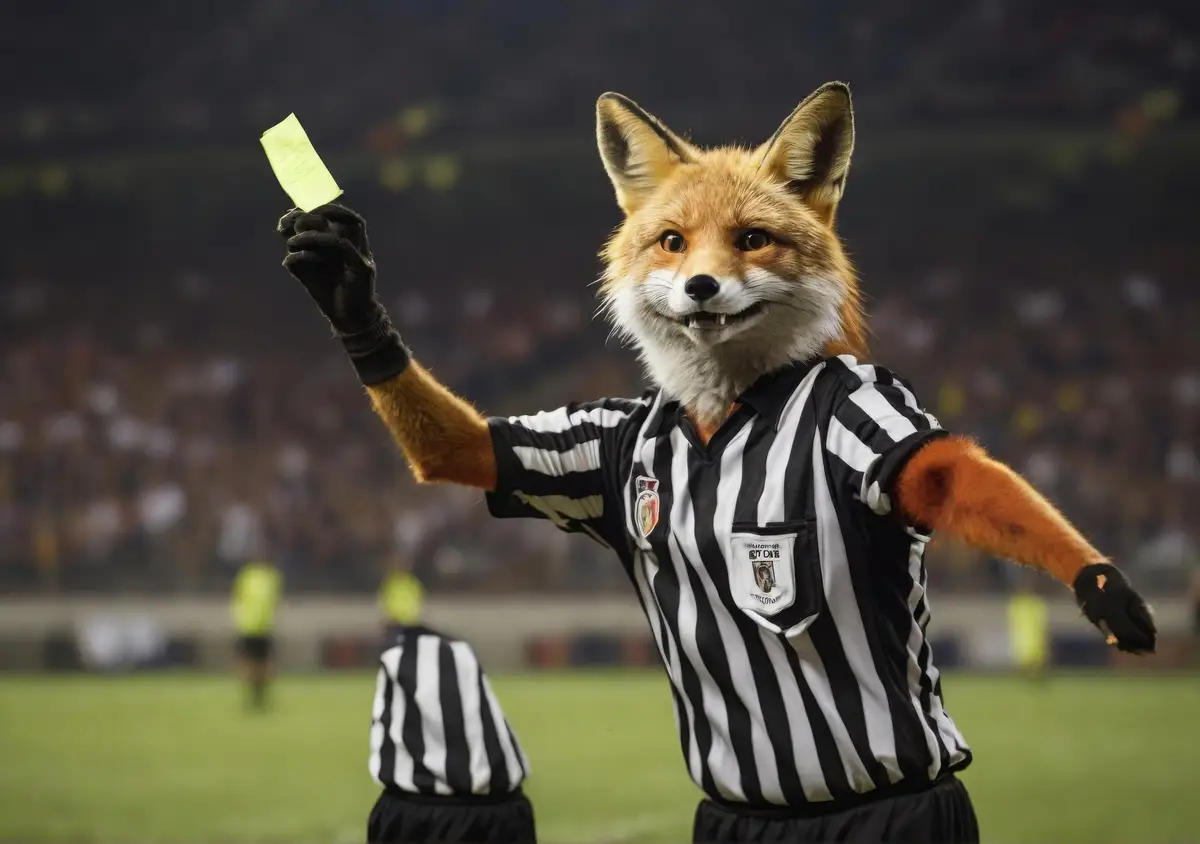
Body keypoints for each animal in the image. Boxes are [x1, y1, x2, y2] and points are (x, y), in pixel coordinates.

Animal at [277, 81, 1155, 839]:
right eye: (671, 241)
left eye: (753, 238)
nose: (700, 286)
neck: (723, 407)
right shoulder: (579, 445)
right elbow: (466, 447)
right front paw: (346, 287)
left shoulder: (874, 419)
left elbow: (947, 473)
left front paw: (1100, 584)